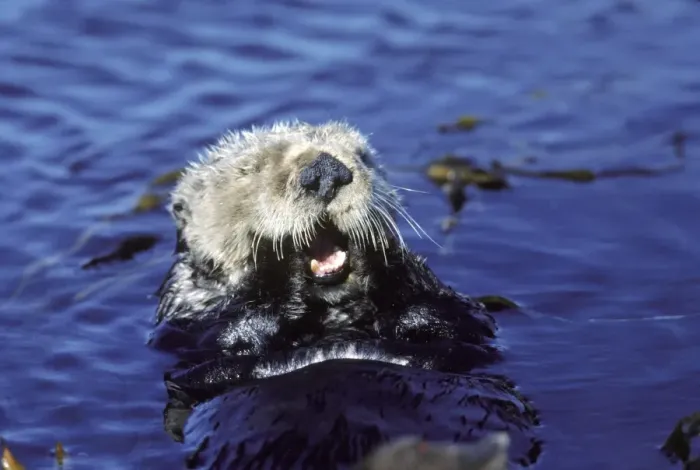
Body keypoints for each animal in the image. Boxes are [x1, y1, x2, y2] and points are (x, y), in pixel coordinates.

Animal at [149, 121, 541, 469]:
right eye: (249, 169)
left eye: (362, 156)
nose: (325, 170)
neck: (333, 320)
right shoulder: (187, 330)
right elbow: (232, 335)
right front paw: (278, 261)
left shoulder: (468, 328)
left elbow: (460, 319)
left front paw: (379, 251)